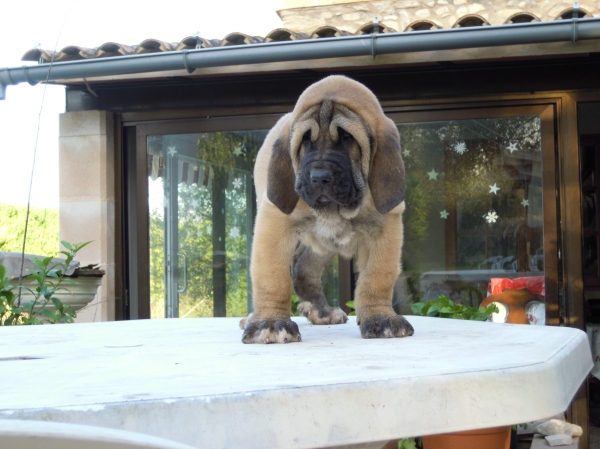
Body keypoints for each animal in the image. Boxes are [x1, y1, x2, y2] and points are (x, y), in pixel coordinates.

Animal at [241, 76, 414, 344]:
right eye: (305, 140)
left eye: (347, 137)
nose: (319, 177)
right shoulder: (274, 224)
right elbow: (272, 277)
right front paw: (269, 322)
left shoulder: (385, 227)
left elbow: (377, 277)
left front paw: (381, 317)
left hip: (324, 242)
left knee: (304, 269)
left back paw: (321, 311)